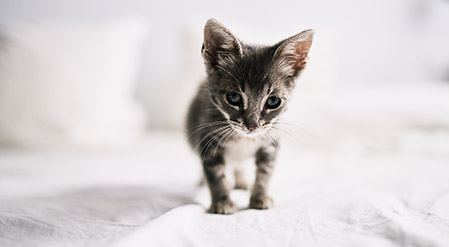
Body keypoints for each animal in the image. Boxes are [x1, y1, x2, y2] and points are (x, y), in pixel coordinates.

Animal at [185, 18, 312, 214]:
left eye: (273, 101)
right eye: (234, 97)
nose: (252, 126)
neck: (243, 139)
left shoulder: (270, 142)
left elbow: (265, 173)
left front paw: (260, 196)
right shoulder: (208, 141)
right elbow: (216, 175)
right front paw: (222, 202)